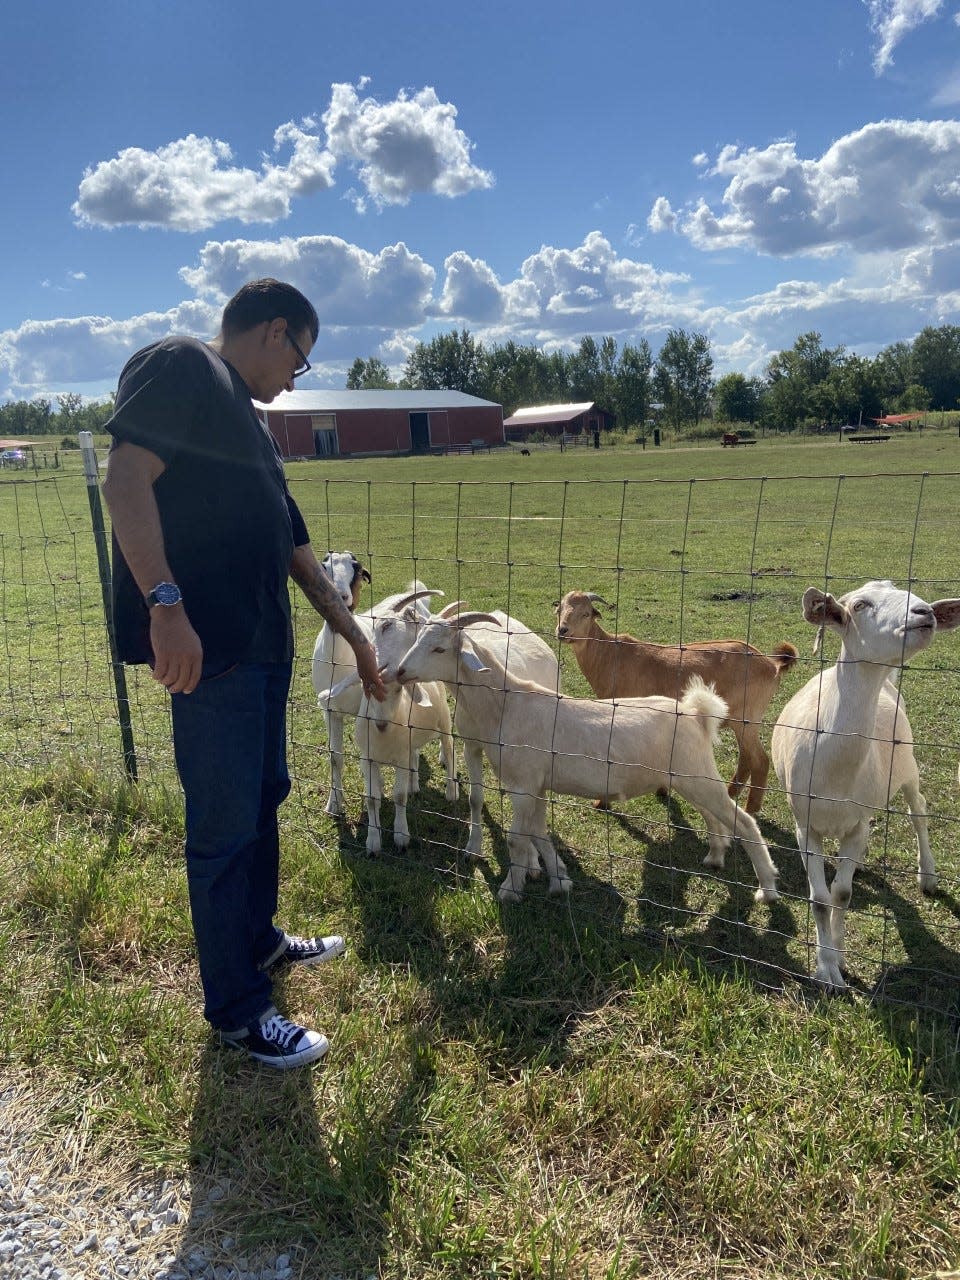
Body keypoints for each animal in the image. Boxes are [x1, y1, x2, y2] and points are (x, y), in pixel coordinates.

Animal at [391, 614, 783, 906]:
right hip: (690, 776)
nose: (399, 672)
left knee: (745, 822)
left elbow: (519, 839)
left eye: (440, 647)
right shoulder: (536, 784)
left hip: (696, 774)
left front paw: (510, 890)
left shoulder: (522, 783)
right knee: (715, 816)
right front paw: (559, 881)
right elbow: (539, 833)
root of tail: (696, 713)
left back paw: (767, 889)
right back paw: (715, 856)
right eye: (417, 638)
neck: (506, 704)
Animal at [552, 586, 798, 808]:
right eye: (560, 609)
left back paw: (750, 809)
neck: (610, 655)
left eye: (586, 613)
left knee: (760, 760)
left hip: (746, 718)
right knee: (747, 757)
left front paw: (601, 802)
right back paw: (730, 794)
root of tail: (772, 665)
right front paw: (662, 790)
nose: (563, 630)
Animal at [773, 581, 960, 988]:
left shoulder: (856, 825)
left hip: (908, 764)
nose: (925, 613)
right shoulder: (804, 825)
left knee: (918, 811)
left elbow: (841, 895)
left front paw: (839, 958)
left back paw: (927, 875)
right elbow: (820, 899)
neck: (835, 769)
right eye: (859, 605)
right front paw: (826, 969)